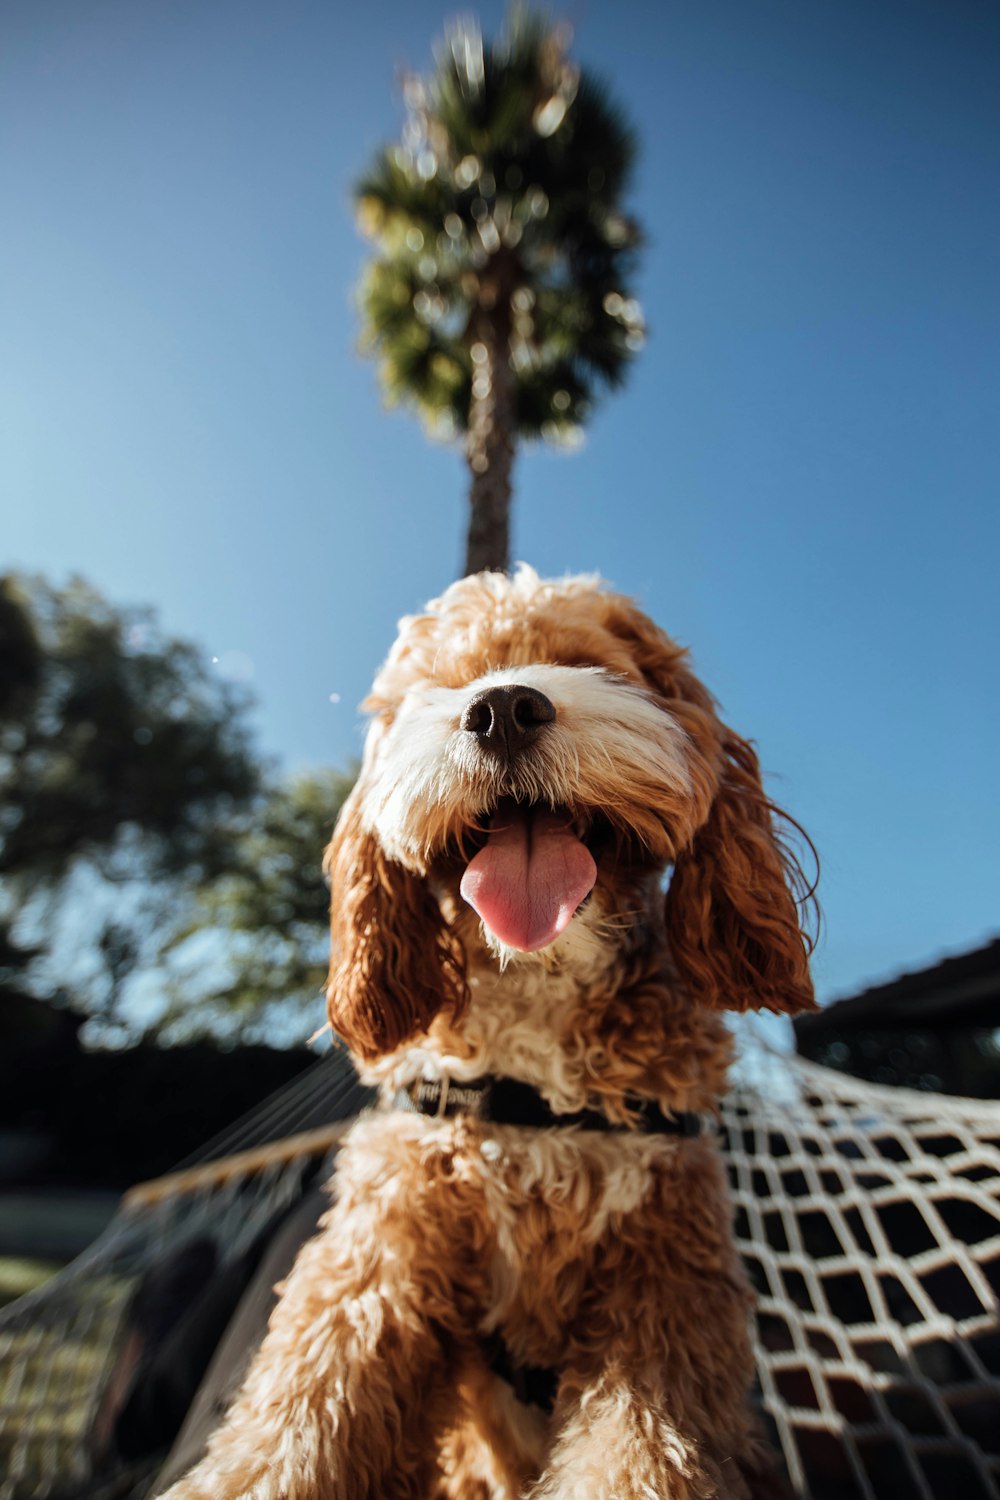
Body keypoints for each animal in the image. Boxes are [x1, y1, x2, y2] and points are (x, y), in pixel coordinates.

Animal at [160, 564, 815, 1500]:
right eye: (444, 684)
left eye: (585, 661)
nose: (502, 707)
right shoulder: (378, 1263)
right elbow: (296, 1426)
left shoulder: (662, 1288)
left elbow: (642, 1454)